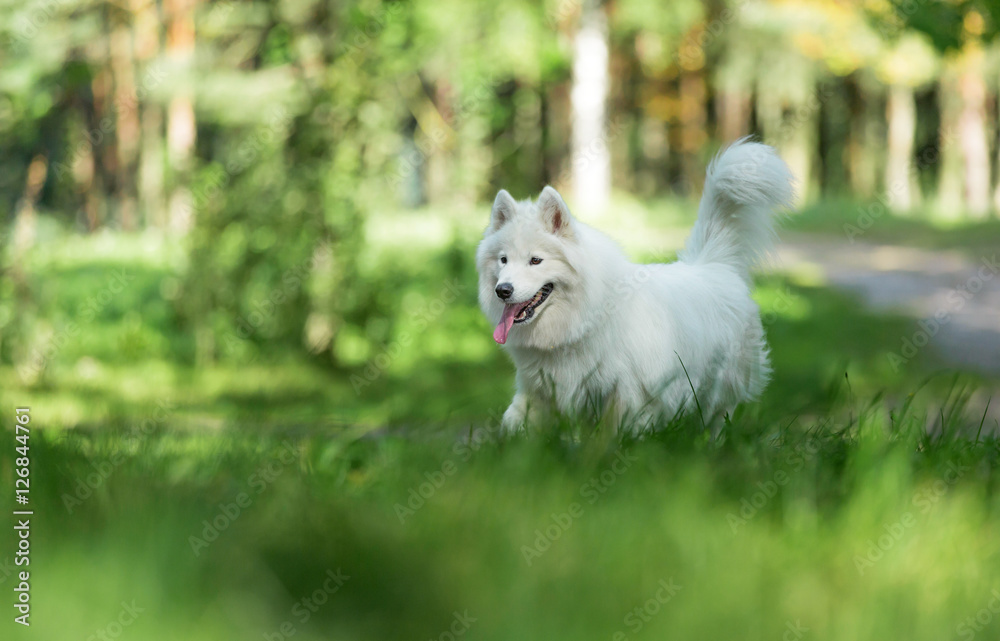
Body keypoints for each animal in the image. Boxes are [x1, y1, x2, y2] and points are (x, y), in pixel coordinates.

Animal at [476, 138, 796, 432]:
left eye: (536, 260)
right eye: (504, 259)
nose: (503, 290)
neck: (581, 320)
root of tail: (713, 263)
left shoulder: (628, 393)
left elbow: (612, 433)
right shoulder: (539, 389)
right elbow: (517, 420)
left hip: (719, 387)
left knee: (716, 417)